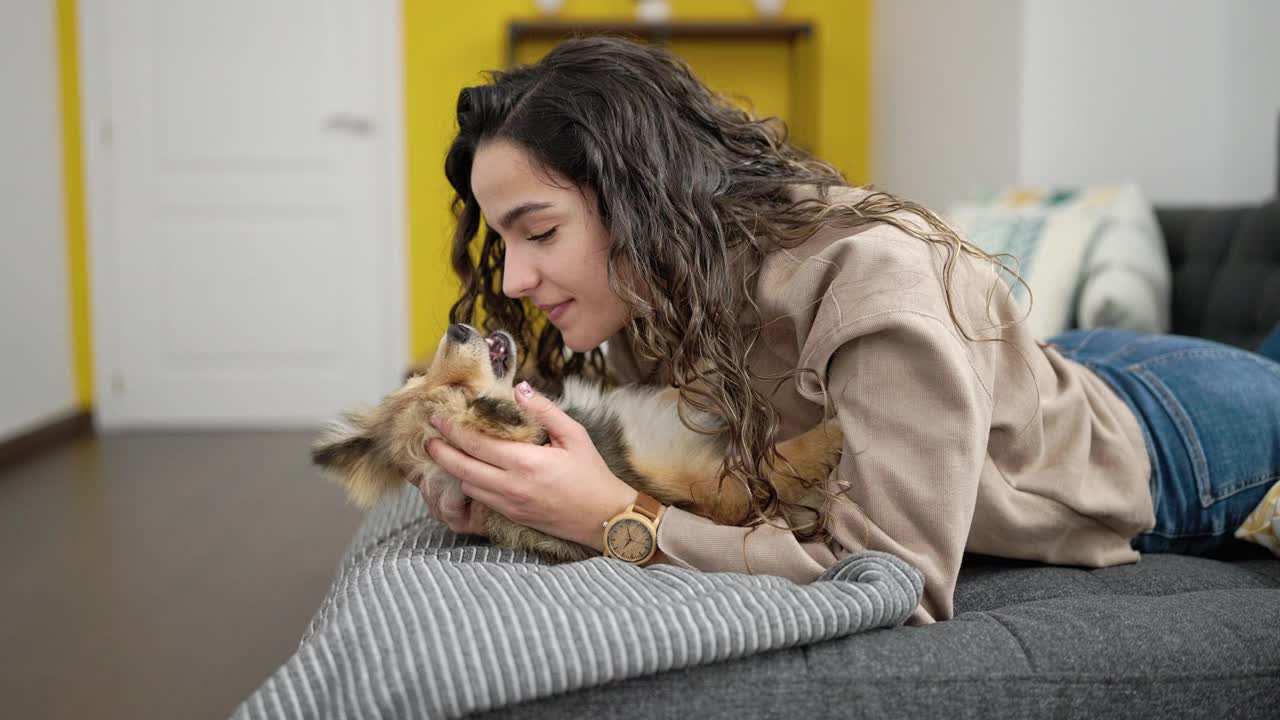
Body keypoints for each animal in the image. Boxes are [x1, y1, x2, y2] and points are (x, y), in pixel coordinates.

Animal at [313, 322, 844, 563]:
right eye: (463, 395)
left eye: (420, 378)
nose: (457, 327)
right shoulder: (710, 485)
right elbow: (786, 461)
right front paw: (834, 429)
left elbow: (685, 386)